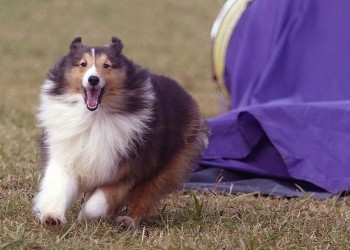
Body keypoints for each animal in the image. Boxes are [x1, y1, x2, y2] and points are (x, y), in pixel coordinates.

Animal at [32, 37, 209, 229]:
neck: (93, 117)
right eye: (83, 64)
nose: (93, 79)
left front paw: (84, 216)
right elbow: (58, 188)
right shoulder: (67, 157)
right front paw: (52, 217)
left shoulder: (125, 172)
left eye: (107, 65)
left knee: (145, 197)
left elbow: (96, 203)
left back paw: (128, 221)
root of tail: (185, 94)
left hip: (168, 166)